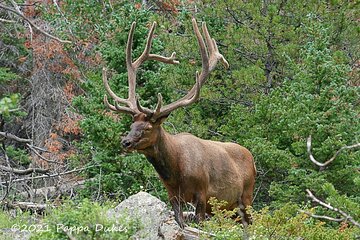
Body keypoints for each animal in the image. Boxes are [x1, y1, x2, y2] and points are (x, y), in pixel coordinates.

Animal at [102, 18, 256, 227]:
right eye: (131, 125)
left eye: (148, 127)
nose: (125, 142)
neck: (176, 173)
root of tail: (252, 159)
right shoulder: (173, 195)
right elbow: (179, 222)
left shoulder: (202, 192)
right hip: (230, 209)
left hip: (247, 195)